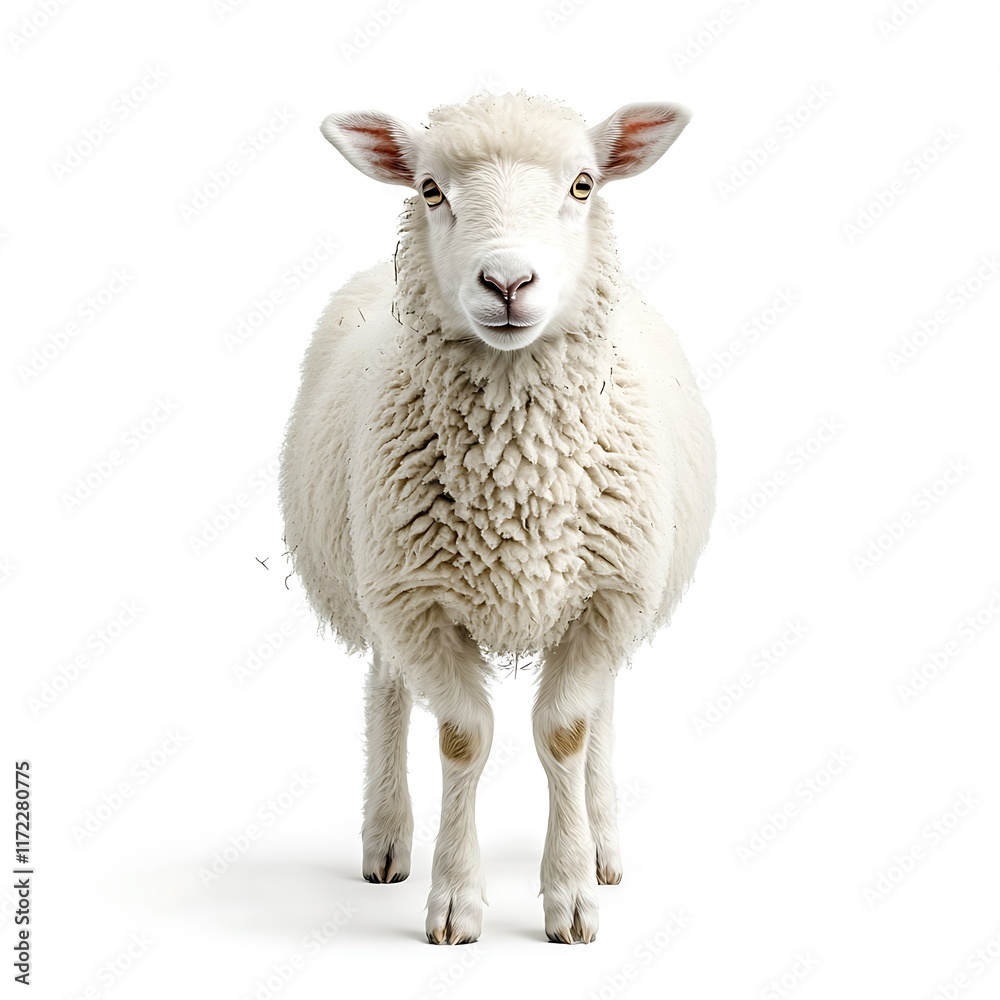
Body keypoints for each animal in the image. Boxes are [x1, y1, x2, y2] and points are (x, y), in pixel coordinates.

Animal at [279, 91, 715, 945]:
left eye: (583, 184)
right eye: (429, 189)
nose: (507, 280)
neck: (516, 478)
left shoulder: (606, 596)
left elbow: (565, 733)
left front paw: (572, 893)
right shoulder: (415, 600)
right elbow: (462, 737)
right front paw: (455, 897)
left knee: (600, 712)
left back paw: (605, 843)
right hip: (375, 570)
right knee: (386, 687)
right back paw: (387, 837)